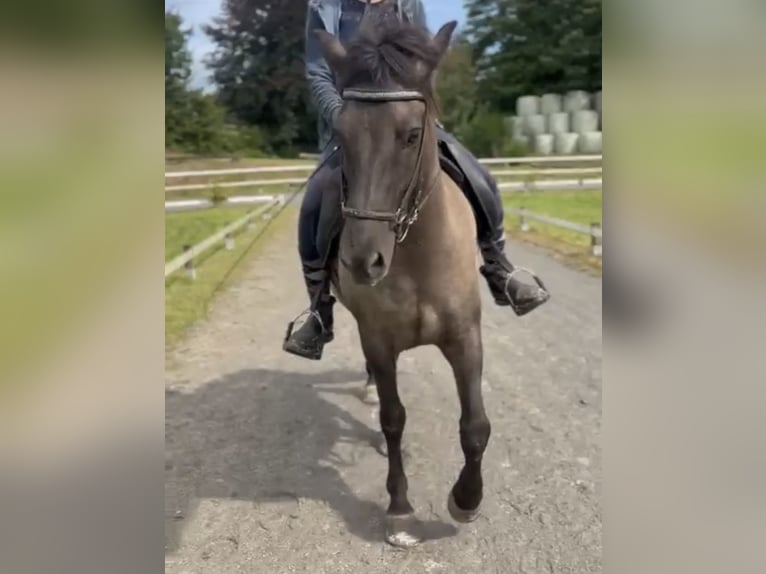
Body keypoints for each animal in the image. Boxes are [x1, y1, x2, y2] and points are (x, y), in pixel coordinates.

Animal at [316, 15, 492, 548]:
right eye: (341, 134)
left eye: (412, 135)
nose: (361, 261)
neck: (414, 258)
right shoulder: (378, 339)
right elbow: (394, 419)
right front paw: (399, 509)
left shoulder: (465, 337)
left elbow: (475, 425)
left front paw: (466, 501)